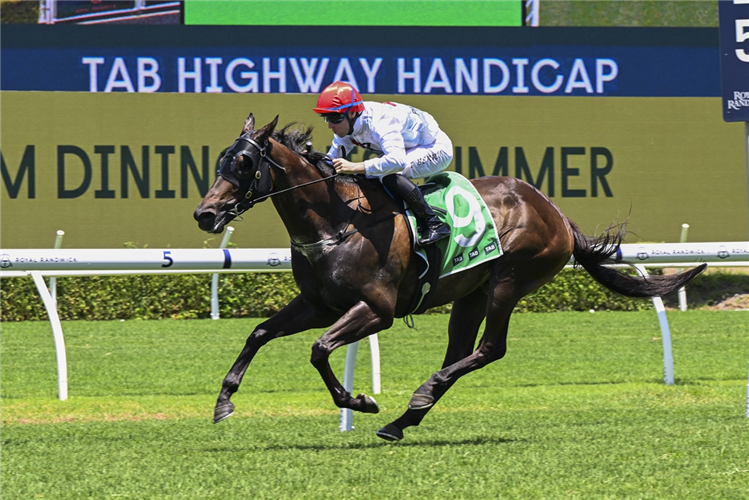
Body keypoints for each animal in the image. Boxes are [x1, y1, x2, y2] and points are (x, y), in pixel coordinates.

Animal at [193, 113, 706, 441]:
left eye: (243, 163)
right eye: (220, 160)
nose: (205, 214)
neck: (336, 221)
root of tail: (554, 211)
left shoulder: (376, 309)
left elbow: (320, 351)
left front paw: (360, 401)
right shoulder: (318, 304)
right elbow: (260, 333)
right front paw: (224, 402)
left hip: (509, 279)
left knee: (489, 348)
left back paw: (419, 395)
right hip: (471, 292)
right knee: (460, 351)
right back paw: (404, 419)